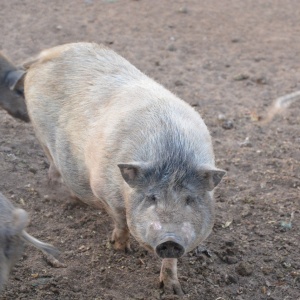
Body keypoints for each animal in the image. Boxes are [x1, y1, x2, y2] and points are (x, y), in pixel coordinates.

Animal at [24, 42, 225, 296]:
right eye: (151, 197)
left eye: (190, 199)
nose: (170, 239)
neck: (172, 158)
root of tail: (49, 52)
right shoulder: (104, 190)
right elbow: (120, 220)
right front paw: (120, 249)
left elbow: (171, 262)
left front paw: (173, 290)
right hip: (39, 130)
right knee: (52, 164)